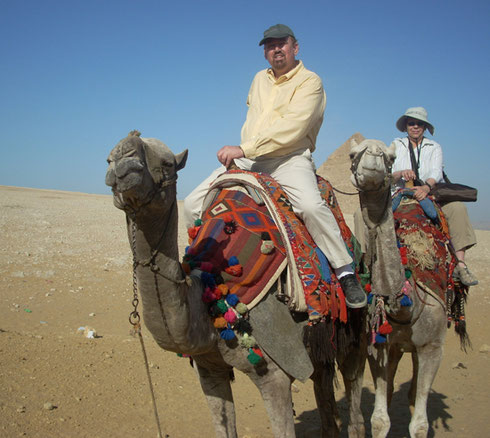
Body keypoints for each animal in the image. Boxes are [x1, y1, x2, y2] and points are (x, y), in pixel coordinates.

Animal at [106, 132, 352, 436]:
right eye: (109, 158)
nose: (122, 159)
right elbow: (223, 425)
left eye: (167, 163)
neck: (210, 296)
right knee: (325, 386)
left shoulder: (275, 374)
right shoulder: (209, 370)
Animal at [348, 139, 448, 438]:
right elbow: (380, 419)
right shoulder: (379, 345)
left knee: (414, 391)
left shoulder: (433, 347)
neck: (408, 305)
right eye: (353, 153)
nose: (372, 158)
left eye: (390, 157)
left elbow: (420, 425)